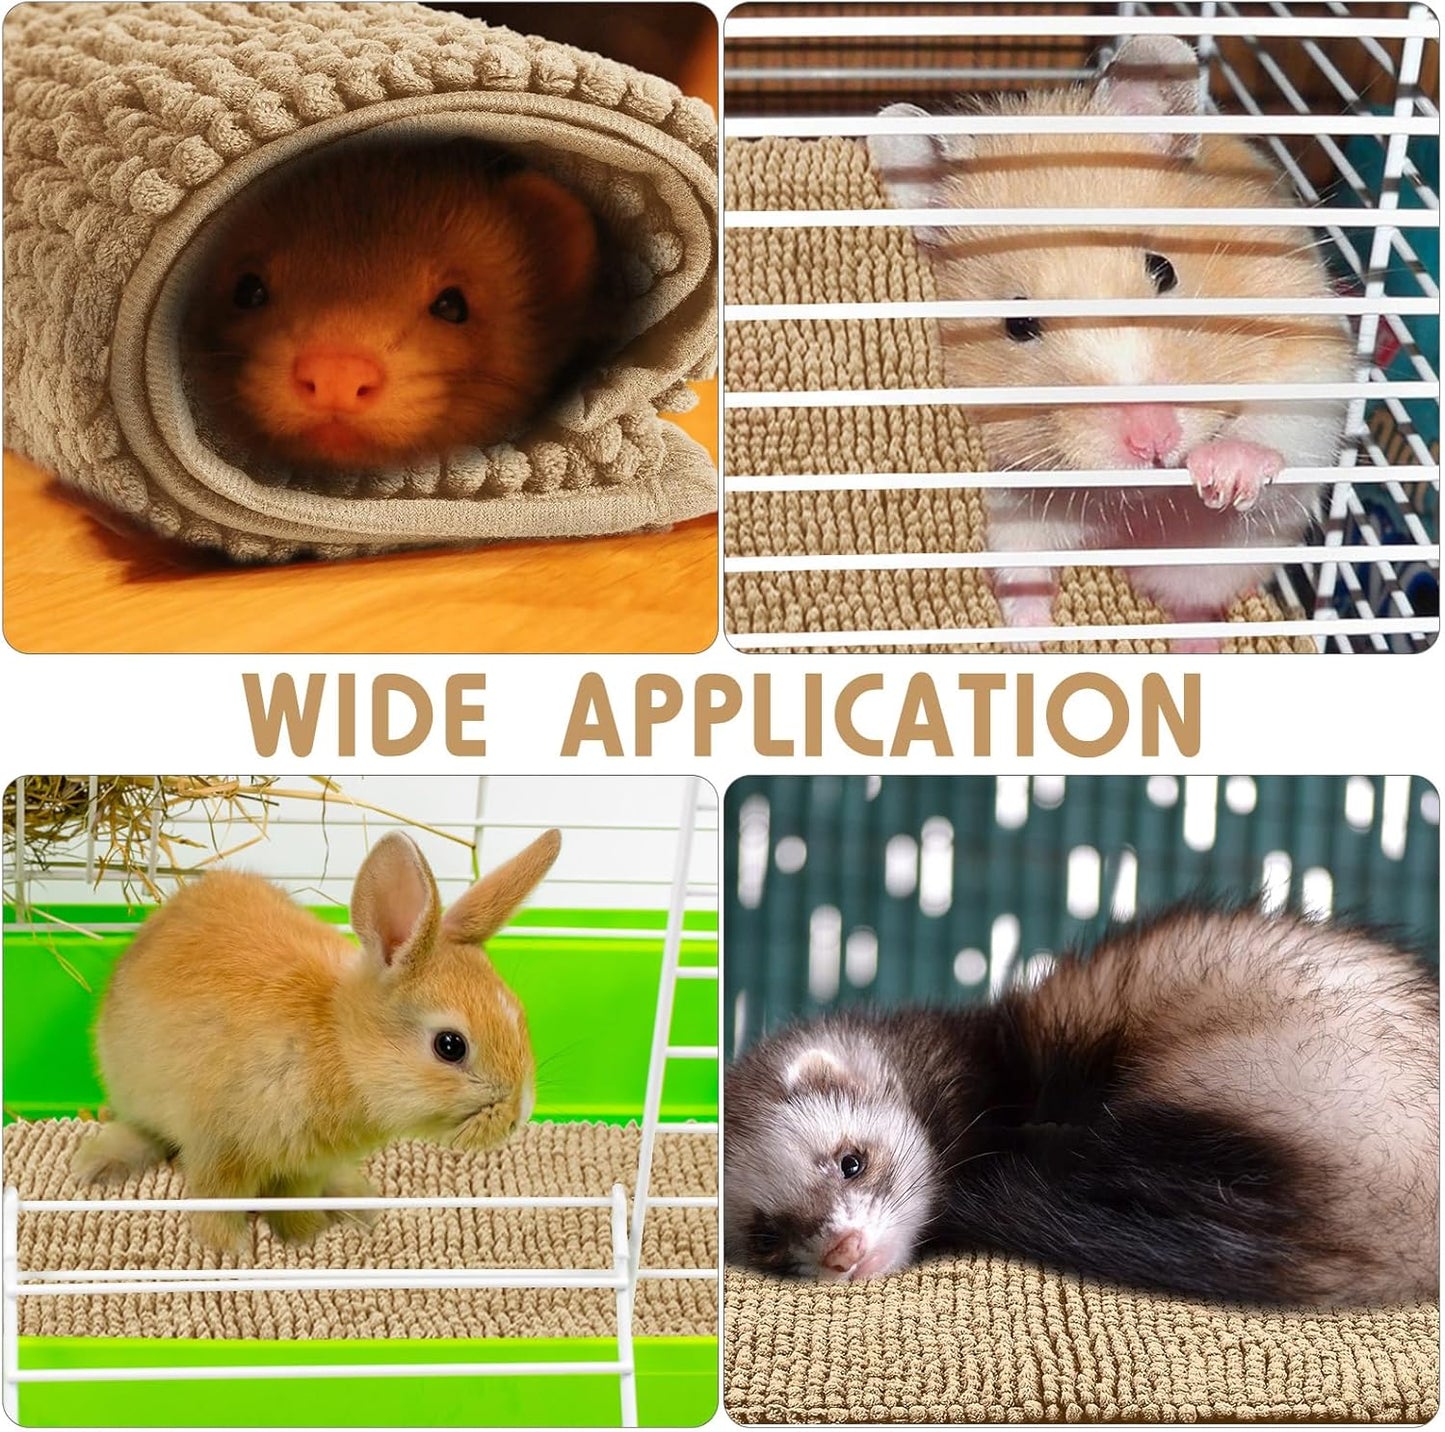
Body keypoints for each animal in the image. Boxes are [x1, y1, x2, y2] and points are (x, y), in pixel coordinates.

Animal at [70, 827, 560, 1252]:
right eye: (450, 1046)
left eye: (519, 1014)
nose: (519, 1117)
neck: (341, 1047)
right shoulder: (220, 1151)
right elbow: (217, 1203)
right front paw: (232, 1251)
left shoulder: (305, 1168)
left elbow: (296, 1201)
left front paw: (304, 1237)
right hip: (134, 1087)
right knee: (140, 1129)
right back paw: (96, 1167)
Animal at [867, 37, 1355, 649]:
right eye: (1018, 325)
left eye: (1163, 270)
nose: (1153, 441)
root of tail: (1126, 546)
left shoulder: (1309, 347)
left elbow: (1278, 422)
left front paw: (1224, 474)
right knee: (1026, 570)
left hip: (1219, 555)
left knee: (1197, 602)